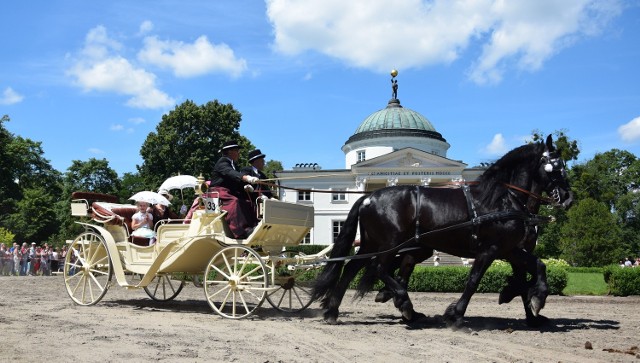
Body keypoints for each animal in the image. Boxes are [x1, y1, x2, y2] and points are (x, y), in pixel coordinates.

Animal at [312, 135, 572, 328]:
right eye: (555, 167)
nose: (568, 198)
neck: (502, 200)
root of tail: (368, 197)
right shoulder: (490, 250)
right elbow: (473, 281)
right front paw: (455, 314)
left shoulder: (509, 249)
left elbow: (538, 266)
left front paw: (535, 301)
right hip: (389, 244)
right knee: (377, 267)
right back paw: (404, 303)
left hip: (372, 243)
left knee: (352, 267)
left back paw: (334, 310)